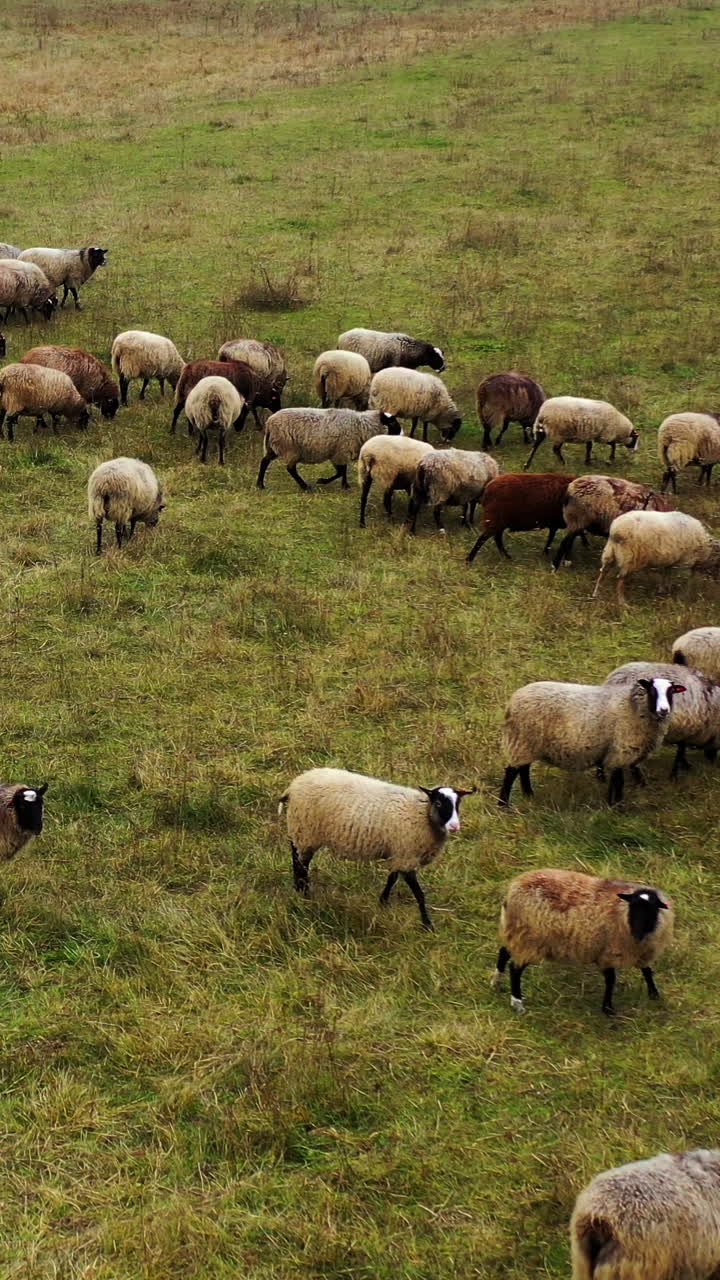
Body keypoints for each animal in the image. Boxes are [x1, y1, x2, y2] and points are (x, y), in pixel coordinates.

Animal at [257, 407, 400, 492]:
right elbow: (341, 471)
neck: (361, 426)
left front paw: (343, 485)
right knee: (290, 468)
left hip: (274, 446)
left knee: (264, 461)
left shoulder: (338, 453)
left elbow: (342, 471)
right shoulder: (340, 452)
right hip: (289, 448)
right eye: (392, 423)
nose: (400, 434)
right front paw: (326, 482)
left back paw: (260, 484)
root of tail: (269, 422)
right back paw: (305, 486)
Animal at [278, 767, 473, 930]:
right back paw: (303, 893)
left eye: (458, 804)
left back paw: (301, 891)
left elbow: (392, 878)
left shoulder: (399, 854)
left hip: (301, 831)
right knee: (300, 864)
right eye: (439, 803)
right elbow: (419, 894)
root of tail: (293, 786)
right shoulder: (407, 855)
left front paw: (383, 903)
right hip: (305, 831)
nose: (455, 827)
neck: (421, 814)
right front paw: (427, 925)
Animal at [493, 868, 674, 1016]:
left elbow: (647, 971)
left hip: (516, 933)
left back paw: (496, 983)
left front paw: (654, 994)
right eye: (633, 907)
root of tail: (512, 891)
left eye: (653, 909)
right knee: (515, 969)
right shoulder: (608, 952)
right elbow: (611, 980)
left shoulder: (641, 951)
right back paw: (517, 1004)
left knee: (504, 952)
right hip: (529, 940)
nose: (637, 933)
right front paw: (608, 1009)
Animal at [499, 675, 686, 806]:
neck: (634, 708)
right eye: (652, 690)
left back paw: (528, 795)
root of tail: (513, 701)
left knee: (523, 768)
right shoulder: (622, 750)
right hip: (521, 740)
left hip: (527, 743)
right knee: (512, 772)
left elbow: (614, 780)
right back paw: (504, 805)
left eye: (671, 692)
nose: (664, 710)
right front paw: (619, 807)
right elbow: (619, 781)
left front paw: (611, 804)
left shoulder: (614, 752)